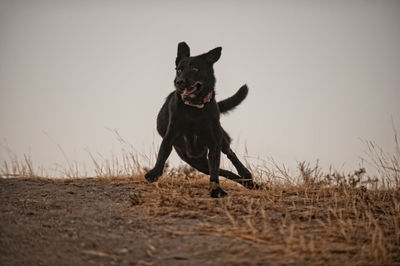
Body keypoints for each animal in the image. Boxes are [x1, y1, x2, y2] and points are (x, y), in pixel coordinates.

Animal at [145, 40, 256, 196]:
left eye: (195, 69)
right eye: (179, 70)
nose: (179, 82)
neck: (194, 108)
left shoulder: (214, 142)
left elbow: (215, 169)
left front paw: (216, 190)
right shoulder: (170, 135)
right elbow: (162, 154)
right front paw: (154, 173)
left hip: (220, 140)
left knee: (230, 154)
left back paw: (246, 175)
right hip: (195, 161)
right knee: (223, 171)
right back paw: (247, 182)